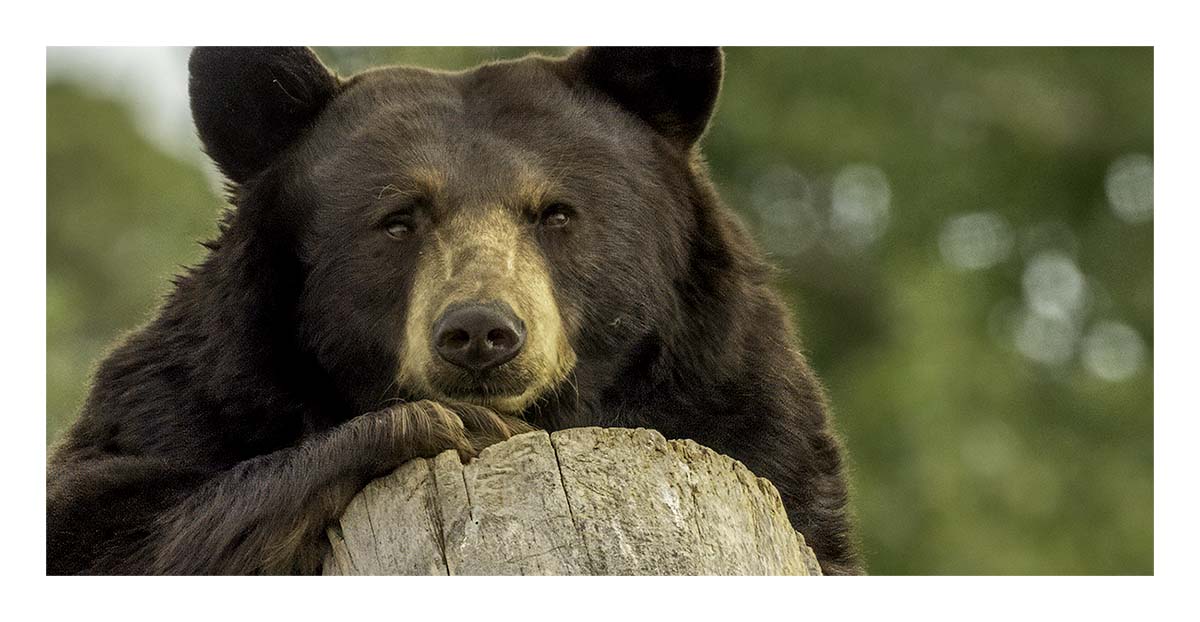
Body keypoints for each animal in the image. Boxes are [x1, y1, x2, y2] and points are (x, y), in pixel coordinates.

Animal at [46, 46, 861, 575]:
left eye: (556, 212)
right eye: (398, 218)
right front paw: (455, 423)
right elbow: (99, 517)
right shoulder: (193, 395)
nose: (480, 332)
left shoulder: (747, 419)